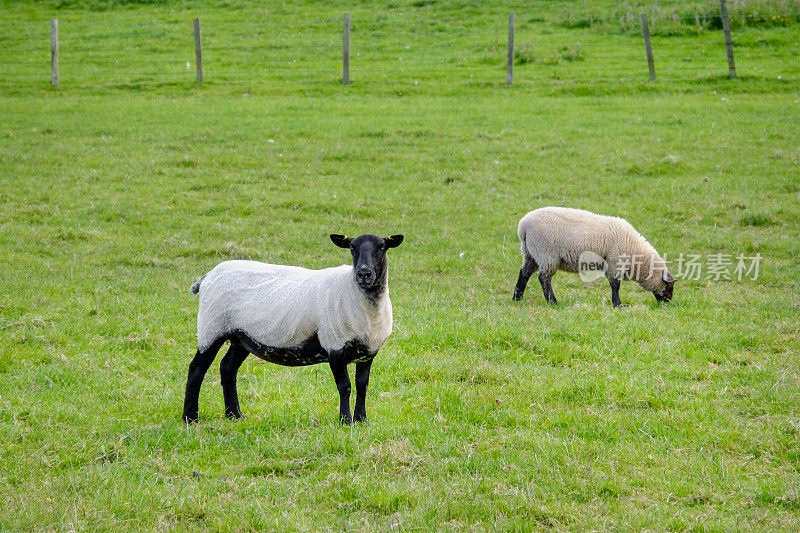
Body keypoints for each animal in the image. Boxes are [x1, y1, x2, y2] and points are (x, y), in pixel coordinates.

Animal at [184, 233, 404, 424]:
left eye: (382, 247)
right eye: (352, 248)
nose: (364, 273)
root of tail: (208, 276)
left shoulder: (368, 351)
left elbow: (362, 385)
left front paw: (361, 419)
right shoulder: (334, 345)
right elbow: (345, 387)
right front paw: (346, 421)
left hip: (241, 336)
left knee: (227, 368)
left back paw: (234, 415)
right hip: (211, 327)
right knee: (196, 369)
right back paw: (190, 417)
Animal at [512, 208, 676, 308]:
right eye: (668, 286)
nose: (668, 302)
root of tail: (523, 226)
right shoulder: (614, 262)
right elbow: (615, 285)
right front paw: (618, 304)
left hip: (530, 253)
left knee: (524, 273)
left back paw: (517, 298)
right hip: (546, 254)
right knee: (544, 278)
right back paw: (553, 302)